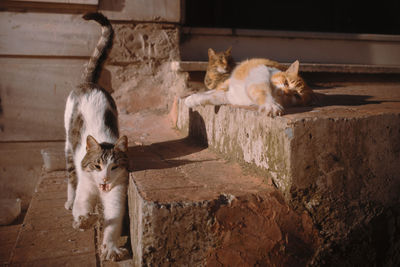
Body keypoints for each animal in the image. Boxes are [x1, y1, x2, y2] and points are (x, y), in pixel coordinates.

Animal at [63, 12, 128, 262]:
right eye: (97, 165)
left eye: (114, 167)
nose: (105, 179)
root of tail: (89, 83)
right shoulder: (86, 187)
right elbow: (82, 209)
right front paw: (84, 219)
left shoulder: (118, 191)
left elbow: (113, 220)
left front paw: (110, 247)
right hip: (68, 147)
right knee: (71, 178)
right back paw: (69, 200)